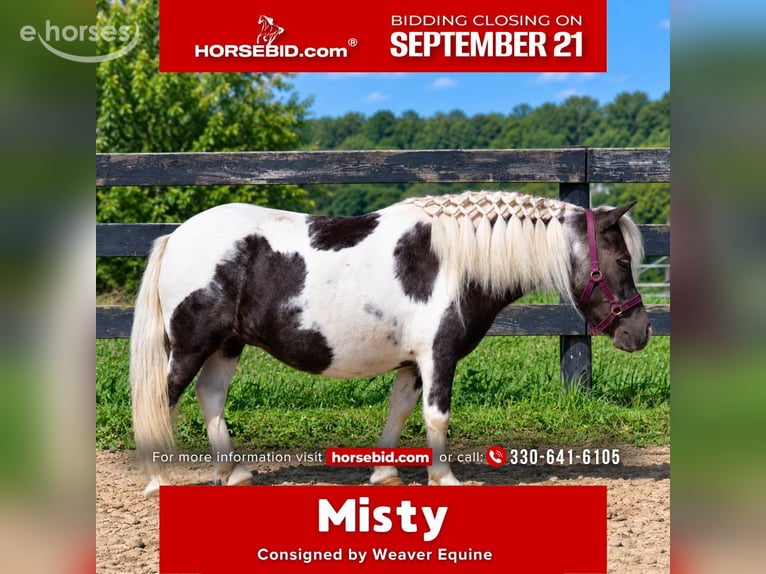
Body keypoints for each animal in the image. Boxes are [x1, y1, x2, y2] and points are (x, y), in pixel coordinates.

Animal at [130, 190, 651, 496]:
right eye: (623, 261)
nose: (640, 332)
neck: (456, 259)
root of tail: (176, 236)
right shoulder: (438, 355)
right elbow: (436, 416)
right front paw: (444, 477)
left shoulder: (413, 362)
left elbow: (399, 410)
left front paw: (385, 472)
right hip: (193, 345)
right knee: (163, 399)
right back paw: (157, 480)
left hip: (227, 344)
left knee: (210, 396)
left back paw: (232, 473)